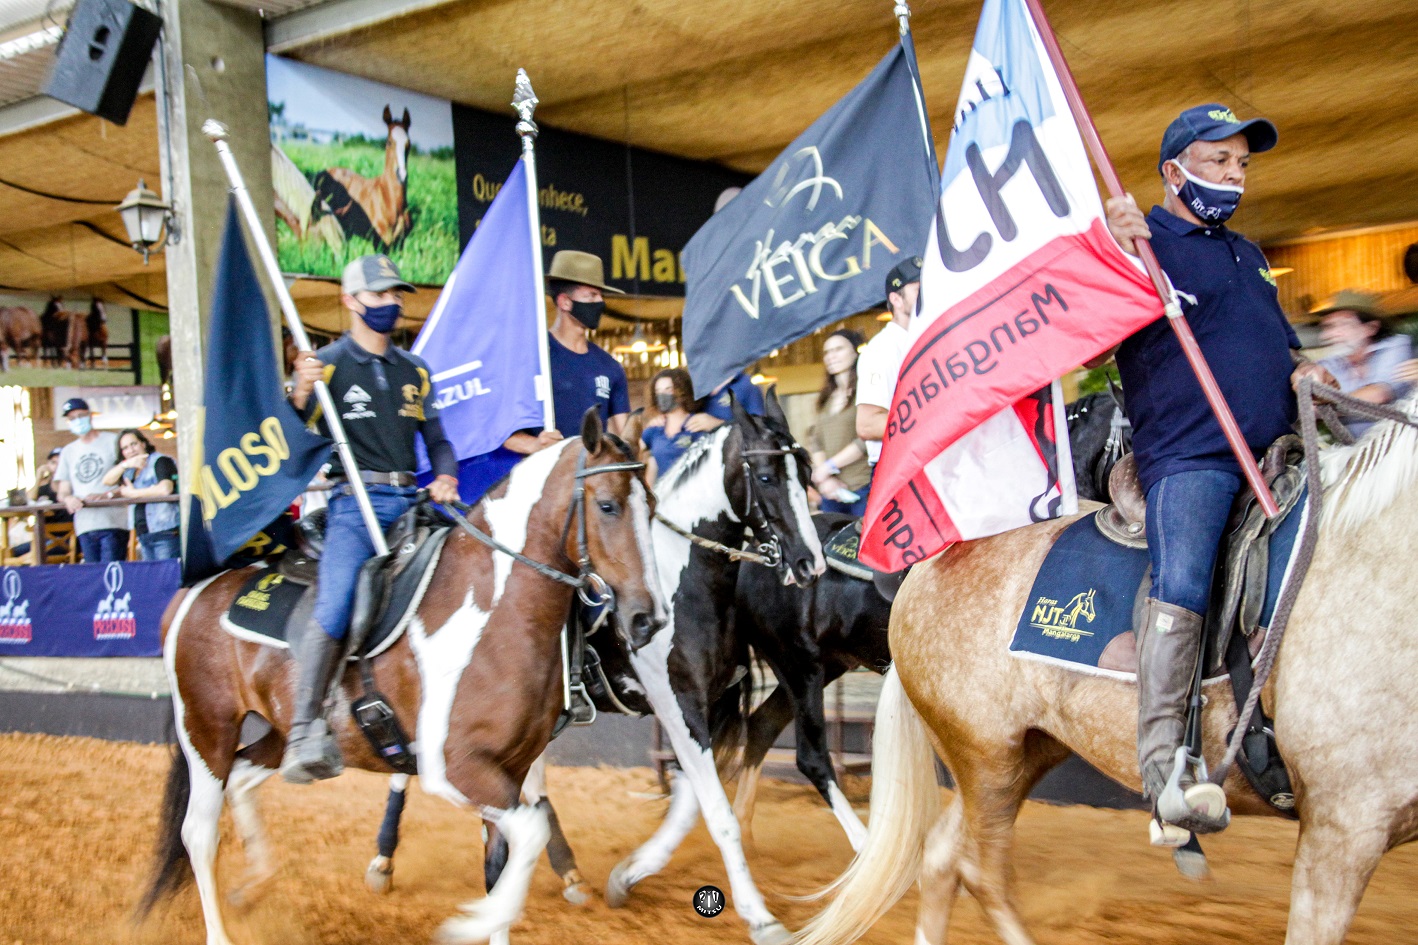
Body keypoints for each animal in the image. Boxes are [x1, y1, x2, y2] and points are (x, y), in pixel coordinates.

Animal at [135, 417, 666, 942]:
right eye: (607, 505)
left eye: (653, 504)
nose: (649, 619)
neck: (493, 610)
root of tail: (194, 591)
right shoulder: (452, 768)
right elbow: (530, 835)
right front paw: (468, 922)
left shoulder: (508, 771)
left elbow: (501, 866)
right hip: (205, 727)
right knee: (198, 833)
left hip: (279, 733)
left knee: (243, 778)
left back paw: (255, 884)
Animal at [313, 104, 414, 249]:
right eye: (389, 142)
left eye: (408, 144)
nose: (402, 175)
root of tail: (322, 172)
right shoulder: (380, 241)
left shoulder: (400, 244)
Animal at [799, 388, 1418, 942]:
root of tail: (925, 568)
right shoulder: (1343, 828)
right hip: (986, 759)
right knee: (979, 869)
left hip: (1023, 754)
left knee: (944, 858)